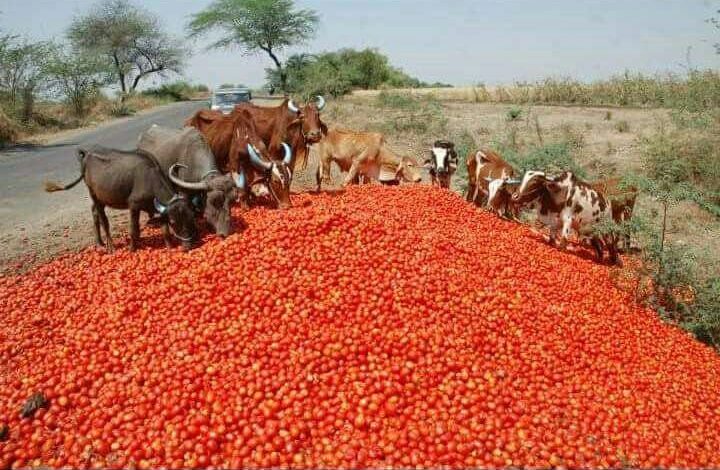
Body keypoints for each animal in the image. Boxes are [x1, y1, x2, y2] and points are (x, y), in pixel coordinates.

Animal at [45, 146, 198, 252]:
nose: (188, 245)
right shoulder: (133, 205)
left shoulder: (158, 208)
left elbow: (165, 230)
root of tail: (87, 154)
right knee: (103, 220)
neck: (149, 179)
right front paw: (132, 249)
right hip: (93, 194)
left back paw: (99, 242)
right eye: (174, 222)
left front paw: (169, 246)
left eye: (191, 217)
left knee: (94, 212)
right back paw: (110, 246)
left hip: (102, 197)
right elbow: (134, 229)